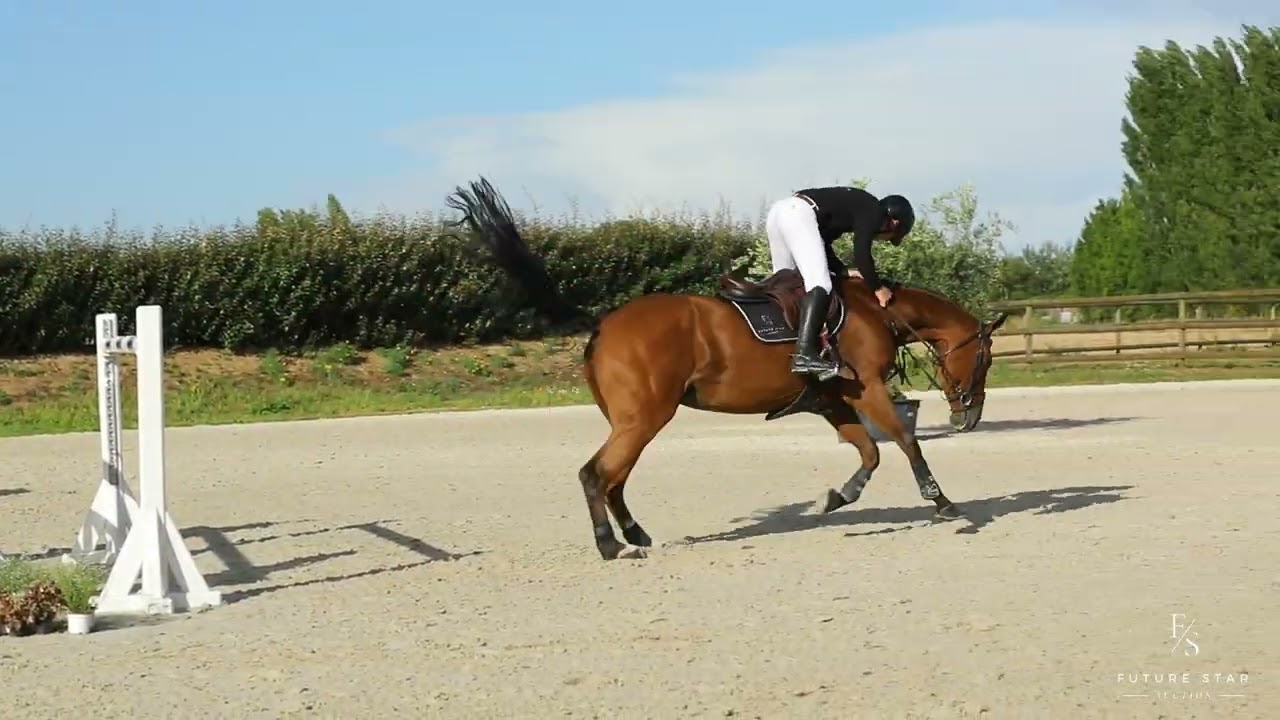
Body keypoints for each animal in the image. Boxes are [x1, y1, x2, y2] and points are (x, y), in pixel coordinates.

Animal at [444, 177, 1009, 561]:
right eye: (984, 358)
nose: (969, 417)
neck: (878, 312)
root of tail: (604, 322)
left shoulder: (833, 400)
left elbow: (869, 452)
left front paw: (837, 497)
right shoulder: (866, 388)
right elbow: (905, 441)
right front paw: (943, 503)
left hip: (632, 419)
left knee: (614, 477)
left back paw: (635, 533)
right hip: (646, 416)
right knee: (596, 474)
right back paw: (610, 544)